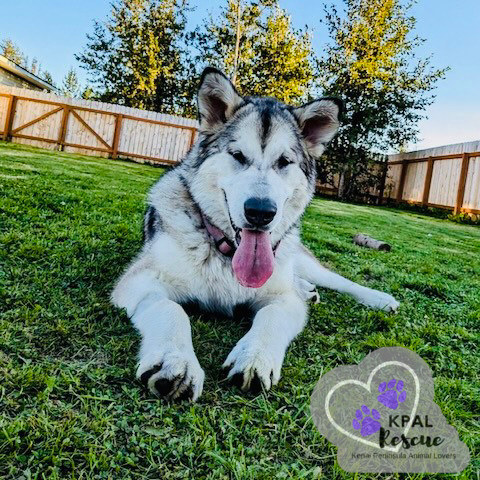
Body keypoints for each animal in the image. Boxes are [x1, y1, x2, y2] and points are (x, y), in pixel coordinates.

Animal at [110, 65, 400, 400]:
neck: (226, 254)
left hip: (299, 258)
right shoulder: (139, 281)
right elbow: (170, 308)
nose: (261, 212)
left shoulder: (283, 299)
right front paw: (176, 359)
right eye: (237, 156)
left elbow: (271, 316)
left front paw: (255, 357)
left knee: (337, 280)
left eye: (284, 162)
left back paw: (377, 298)